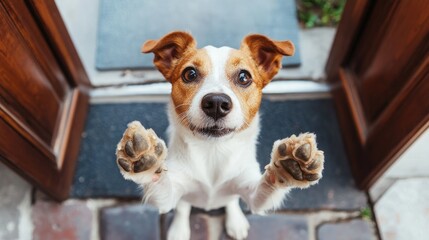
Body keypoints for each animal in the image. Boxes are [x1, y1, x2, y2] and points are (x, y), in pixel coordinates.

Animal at [115, 31, 322, 240]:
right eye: (189, 74)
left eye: (244, 77)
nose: (216, 103)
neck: (213, 150)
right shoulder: (172, 194)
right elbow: (164, 189)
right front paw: (144, 158)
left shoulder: (252, 196)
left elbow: (267, 186)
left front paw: (290, 166)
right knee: (183, 208)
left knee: (231, 201)